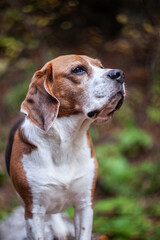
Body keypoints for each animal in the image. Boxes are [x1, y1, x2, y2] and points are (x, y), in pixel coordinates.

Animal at [5, 54, 125, 240]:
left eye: (101, 66)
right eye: (78, 69)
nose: (120, 74)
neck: (67, 142)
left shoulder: (85, 204)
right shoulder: (33, 212)